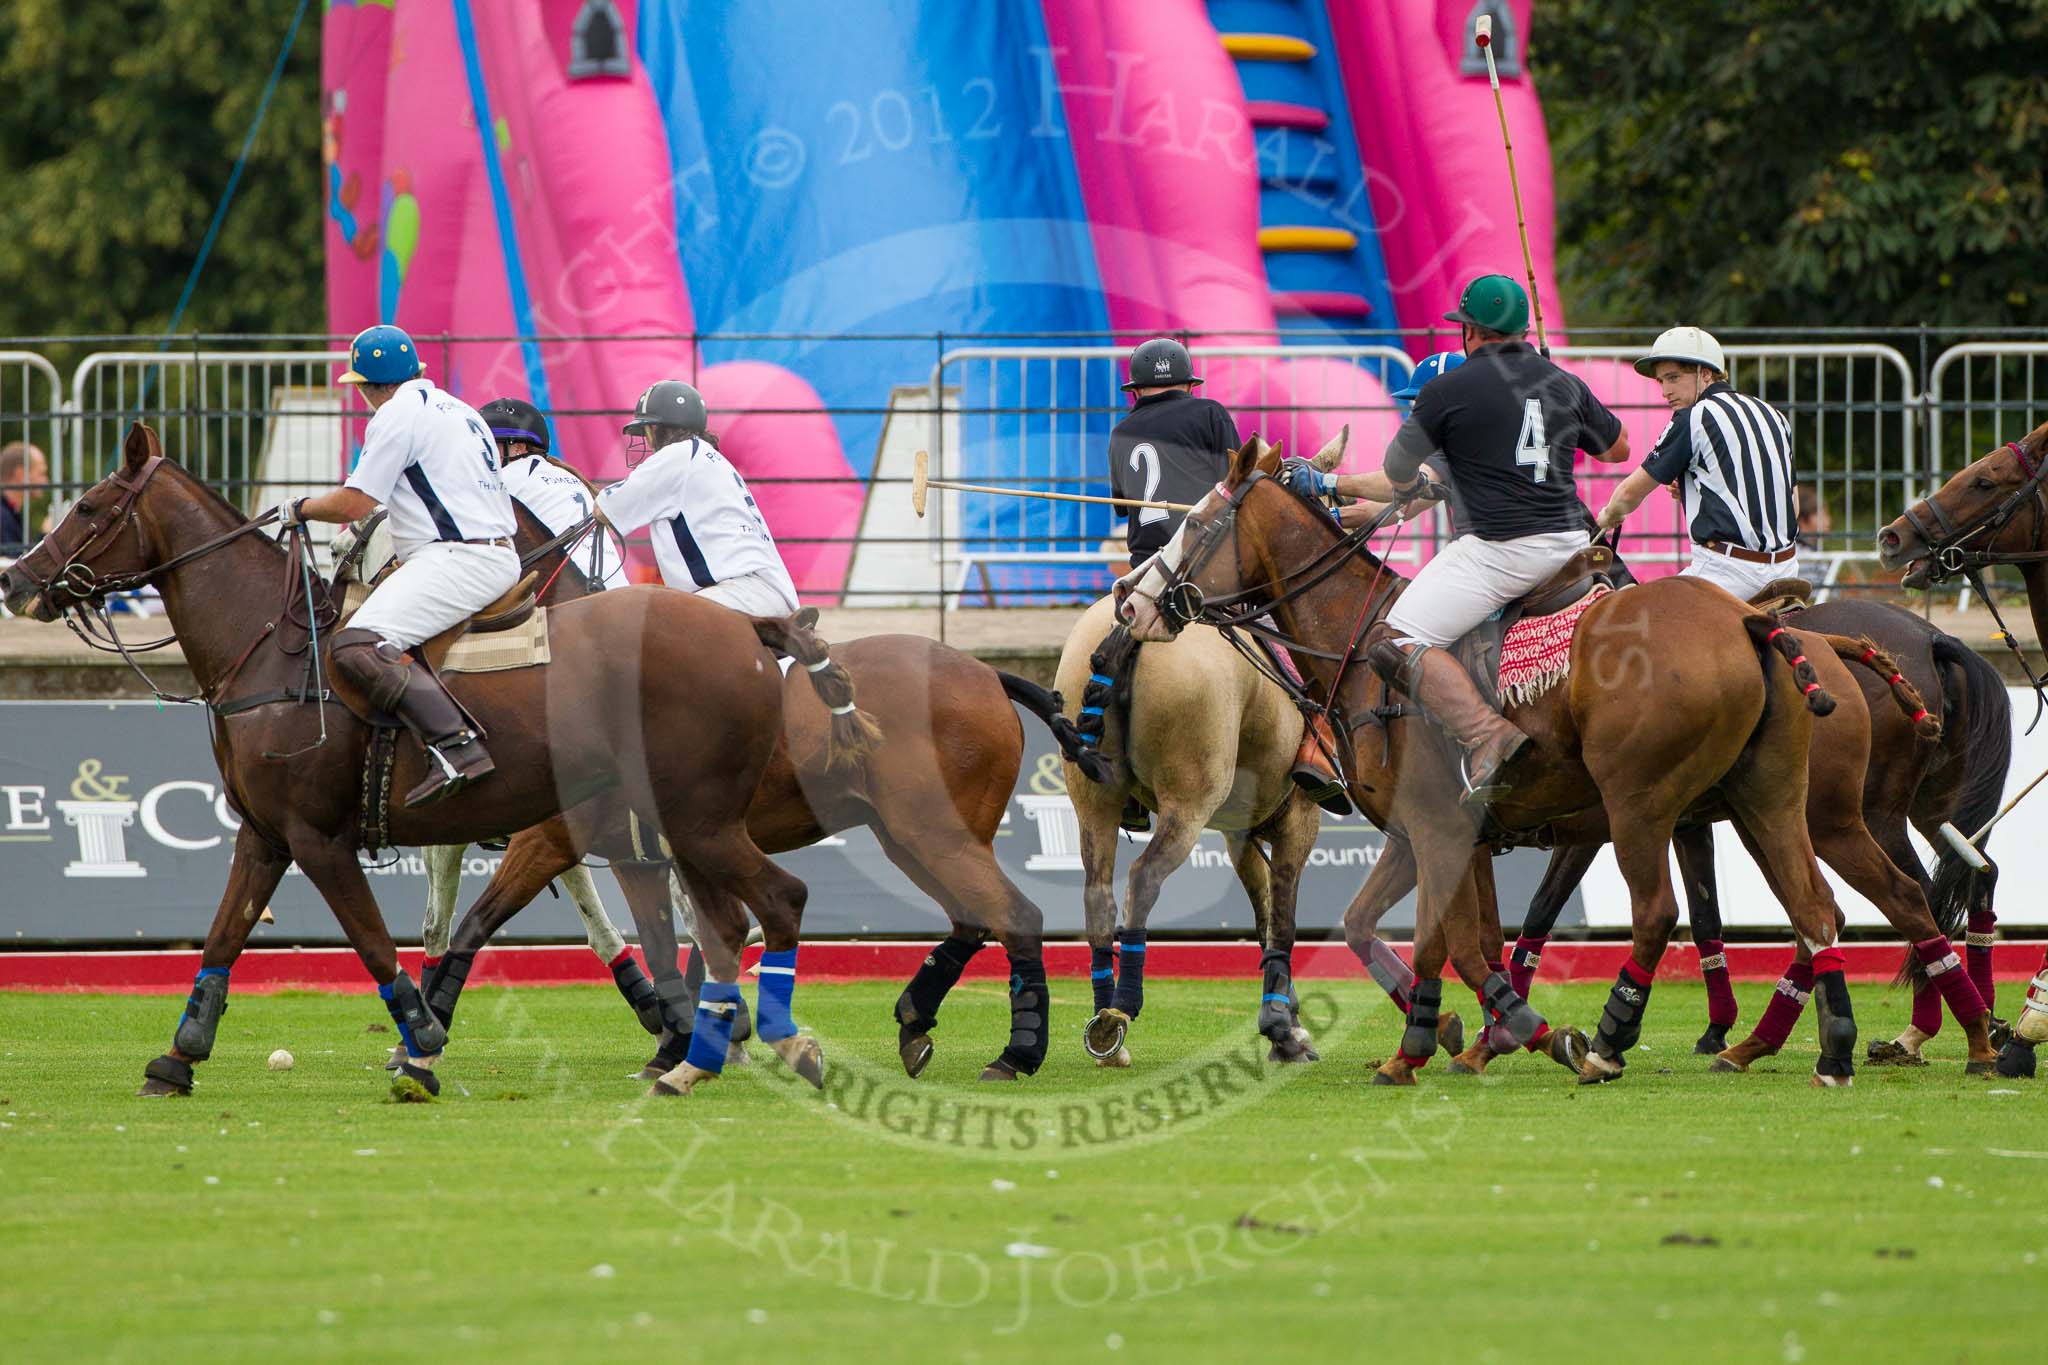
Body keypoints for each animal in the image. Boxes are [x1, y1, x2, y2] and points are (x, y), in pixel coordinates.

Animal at [0, 423, 872, 1096]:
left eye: (88, 506)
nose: (16, 578)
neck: (272, 650)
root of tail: (751, 631)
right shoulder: (267, 832)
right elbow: (226, 936)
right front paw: (177, 1058)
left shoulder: (324, 836)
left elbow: (382, 938)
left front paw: (419, 1038)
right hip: (688, 823)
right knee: (732, 917)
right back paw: (708, 1055)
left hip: (697, 816)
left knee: (778, 899)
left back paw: (767, 1043)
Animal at [1130, 437, 1867, 1088]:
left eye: (1195, 522)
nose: (1133, 601)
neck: (1358, 644)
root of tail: (1748, 619)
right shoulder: (1427, 833)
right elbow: (1388, 927)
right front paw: (1463, 1033)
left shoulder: (1438, 827)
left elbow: (1450, 941)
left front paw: (1472, 1037)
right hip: (1764, 797)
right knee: (1815, 907)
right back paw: (1822, 1049)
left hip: (1641, 800)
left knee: (1659, 911)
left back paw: (1611, 1043)